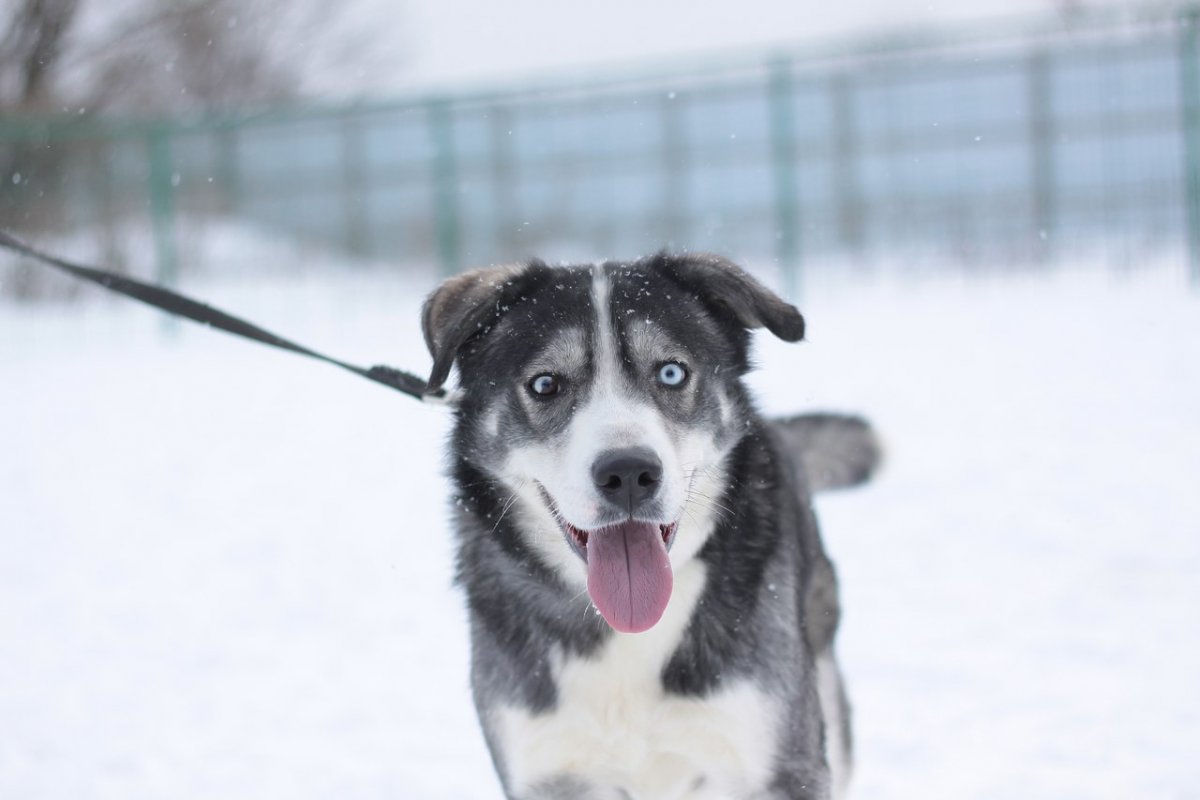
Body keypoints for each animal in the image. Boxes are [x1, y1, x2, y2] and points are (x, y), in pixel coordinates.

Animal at [422, 255, 883, 800]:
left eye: (670, 372)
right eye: (545, 384)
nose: (628, 474)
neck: (625, 629)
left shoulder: (782, 767)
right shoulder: (550, 773)